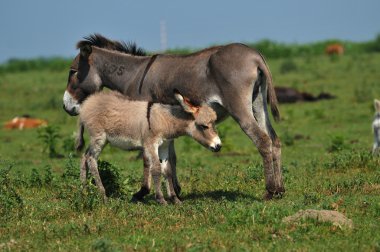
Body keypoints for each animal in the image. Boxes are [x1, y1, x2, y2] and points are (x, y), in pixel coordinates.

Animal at [79, 90, 221, 205]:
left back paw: (84, 190)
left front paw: (175, 199)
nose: (218, 146)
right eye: (203, 126)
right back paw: (103, 196)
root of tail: (88, 102)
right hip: (98, 138)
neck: (165, 120)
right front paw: (161, 199)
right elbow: (156, 169)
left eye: (214, 123)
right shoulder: (151, 144)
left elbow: (168, 170)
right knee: (91, 159)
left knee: (84, 155)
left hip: (99, 140)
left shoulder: (164, 146)